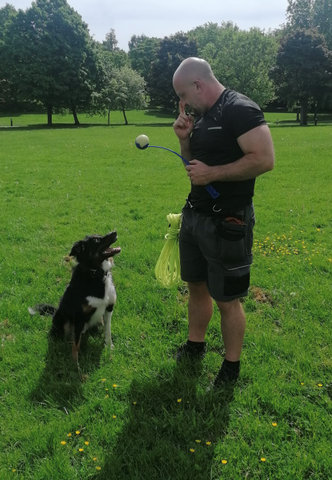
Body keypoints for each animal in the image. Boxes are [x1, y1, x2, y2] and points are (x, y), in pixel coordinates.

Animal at [28, 232, 120, 364]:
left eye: (100, 235)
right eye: (96, 240)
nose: (114, 232)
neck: (96, 274)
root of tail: (55, 311)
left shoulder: (108, 308)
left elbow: (108, 331)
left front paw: (109, 347)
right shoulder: (79, 317)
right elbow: (76, 343)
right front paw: (74, 364)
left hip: (98, 320)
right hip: (64, 321)